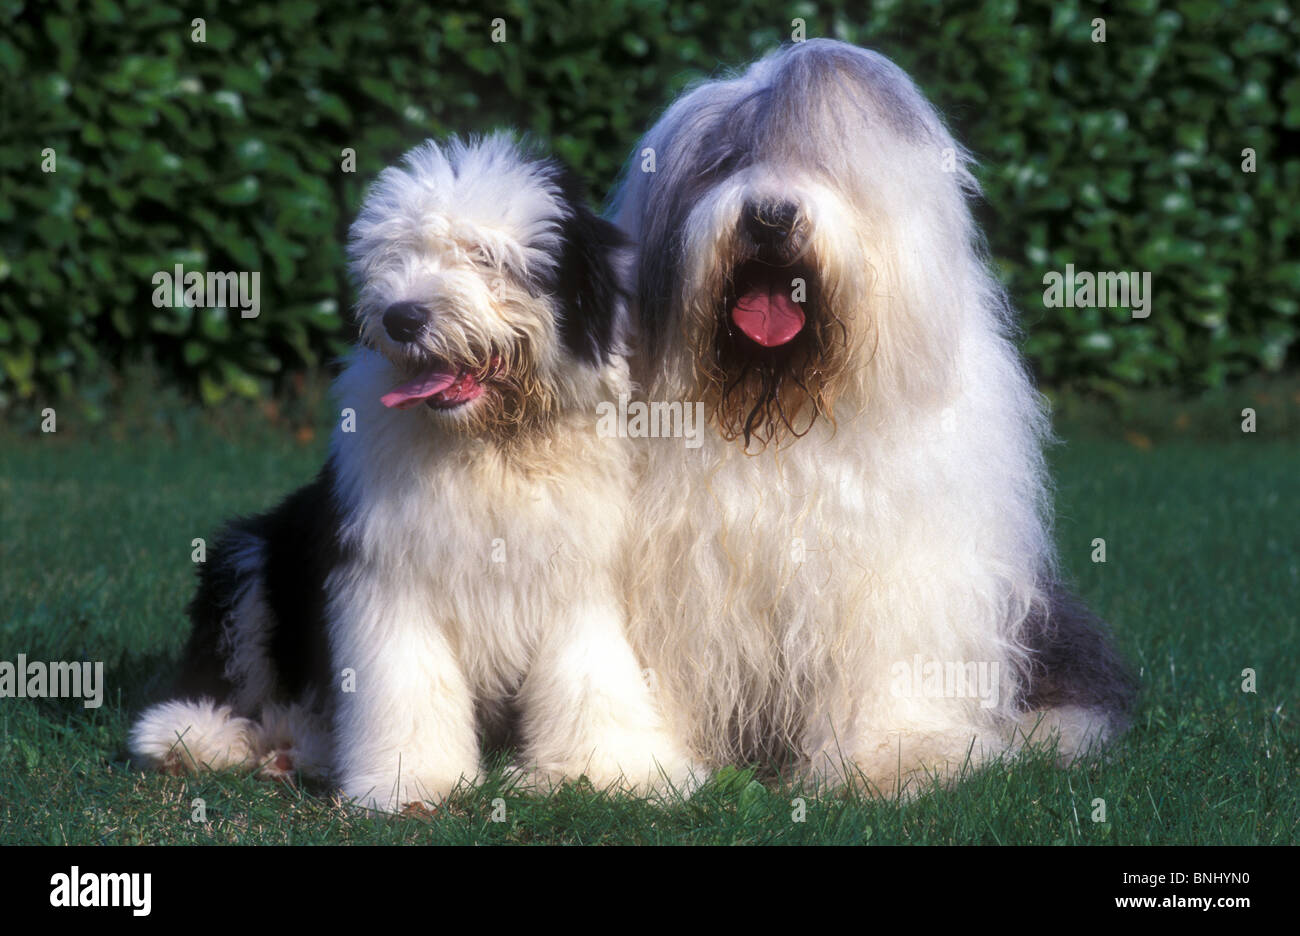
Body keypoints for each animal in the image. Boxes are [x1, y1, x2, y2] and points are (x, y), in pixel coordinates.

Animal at [130, 133, 696, 811]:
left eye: (485, 256)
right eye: (397, 255)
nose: (401, 318)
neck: (489, 448)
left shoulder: (580, 578)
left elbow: (592, 673)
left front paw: (612, 771)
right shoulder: (387, 572)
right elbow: (407, 682)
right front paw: (412, 782)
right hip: (252, 556)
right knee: (235, 682)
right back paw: (198, 741)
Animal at [613, 40, 1133, 795]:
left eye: (829, 162)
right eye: (725, 158)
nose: (769, 216)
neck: (779, 413)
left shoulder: (899, 564)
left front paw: (897, 761)